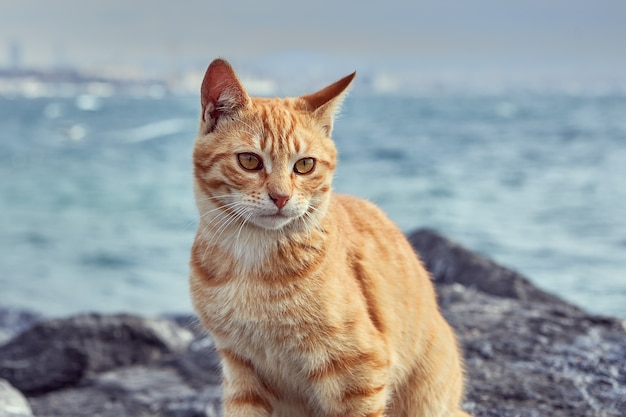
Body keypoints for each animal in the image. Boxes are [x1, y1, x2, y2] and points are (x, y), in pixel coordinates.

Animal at [188, 58, 470, 416]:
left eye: (304, 165)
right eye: (249, 161)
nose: (281, 197)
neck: (251, 262)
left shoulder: (359, 370)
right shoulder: (240, 369)